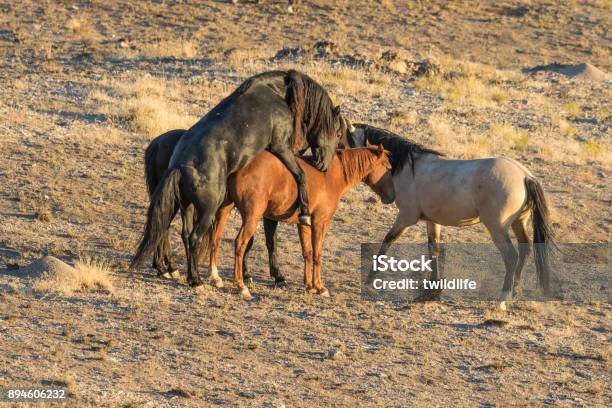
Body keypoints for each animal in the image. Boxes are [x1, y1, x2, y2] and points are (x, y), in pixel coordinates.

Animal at [143, 129, 286, 286]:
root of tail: (157, 143)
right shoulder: (258, 212)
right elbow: (267, 240)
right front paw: (274, 276)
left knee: (160, 228)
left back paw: (164, 267)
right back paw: (169, 268)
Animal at [207, 147, 396, 300]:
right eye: (388, 168)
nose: (392, 197)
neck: (331, 175)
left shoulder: (304, 224)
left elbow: (308, 252)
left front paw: (309, 285)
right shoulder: (320, 223)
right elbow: (317, 254)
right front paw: (320, 287)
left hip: (224, 210)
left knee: (215, 239)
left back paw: (215, 276)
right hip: (251, 217)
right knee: (240, 243)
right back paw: (241, 286)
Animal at [350, 122, 556, 302]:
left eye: (347, 141)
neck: (409, 167)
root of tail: (525, 176)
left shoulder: (406, 217)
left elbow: (388, 240)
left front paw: (369, 279)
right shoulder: (432, 220)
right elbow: (434, 249)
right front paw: (431, 291)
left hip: (497, 228)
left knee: (511, 257)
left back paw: (504, 296)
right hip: (518, 223)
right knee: (525, 250)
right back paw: (515, 291)